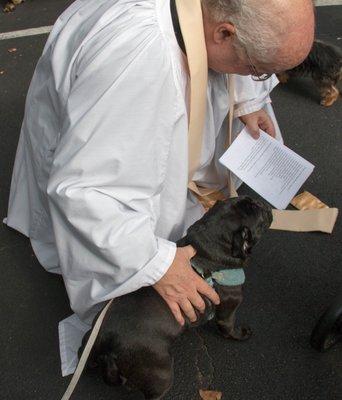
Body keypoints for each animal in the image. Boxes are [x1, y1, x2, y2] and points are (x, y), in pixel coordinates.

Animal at [79, 197, 272, 400]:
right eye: (259, 211)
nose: (263, 202)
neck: (207, 248)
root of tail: (108, 345)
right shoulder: (230, 306)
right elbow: (228, 327)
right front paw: (241, 334)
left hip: (89, 341)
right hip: (160, 373)